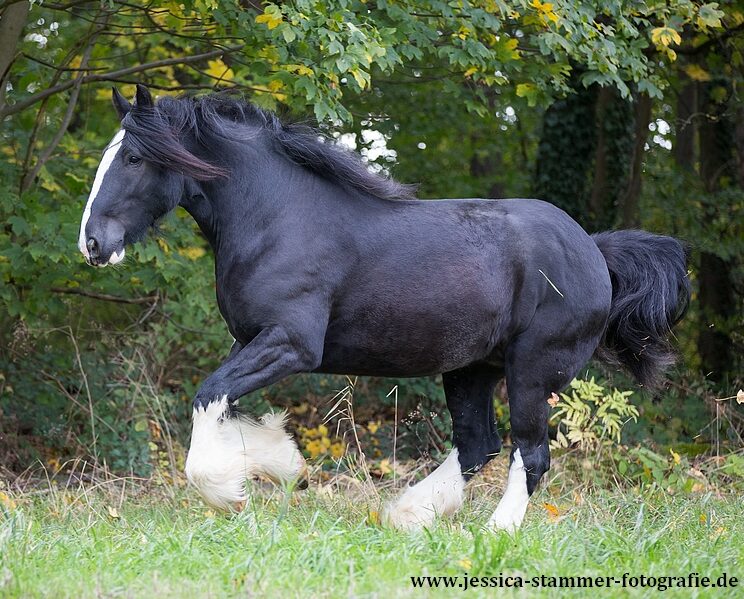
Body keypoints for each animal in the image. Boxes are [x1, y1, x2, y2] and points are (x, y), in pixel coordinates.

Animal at [78, 84, 690, 531]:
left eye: (133, 157)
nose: (93, 244)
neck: (276, 218)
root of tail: (594, 250)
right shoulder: (249, 340)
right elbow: (224, 403)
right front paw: (285, 466)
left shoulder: (290, 344)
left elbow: (208, 399)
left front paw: (230, 494)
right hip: (471, 369)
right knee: (478, 445)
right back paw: (407, 514)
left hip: (531, 371)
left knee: (530, 454)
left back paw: (495, 531)